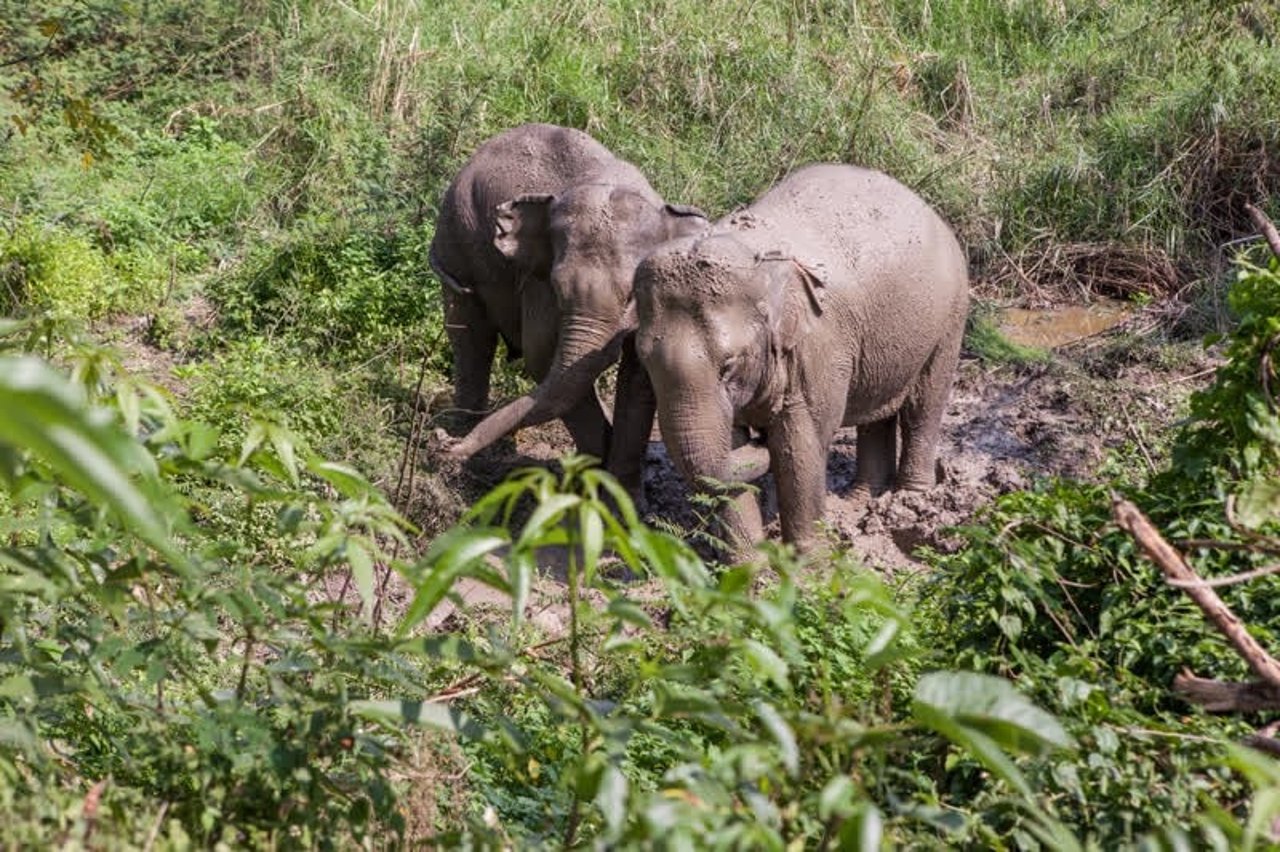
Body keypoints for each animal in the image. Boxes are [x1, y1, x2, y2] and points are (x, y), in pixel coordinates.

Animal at [430, 122, 711, 488]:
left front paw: (622, 489)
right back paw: (463, 425)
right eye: (558, 289)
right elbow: (542, 357)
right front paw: (597, 469)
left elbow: (640, 374)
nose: (441, 444)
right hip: (456, 239)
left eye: (631, 295)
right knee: (470, 333)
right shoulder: (537, 283)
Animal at [629, 162, 967, 555]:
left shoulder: (819, 343)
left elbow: (802, 440)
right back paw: (859, 499)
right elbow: (730, 445)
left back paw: (910, 499)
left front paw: (808, 561)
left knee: (923, 406)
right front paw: (749, 563)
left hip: (950, 318)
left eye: (729, 365)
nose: (759, 441)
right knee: (876, 413)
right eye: (645, 363)